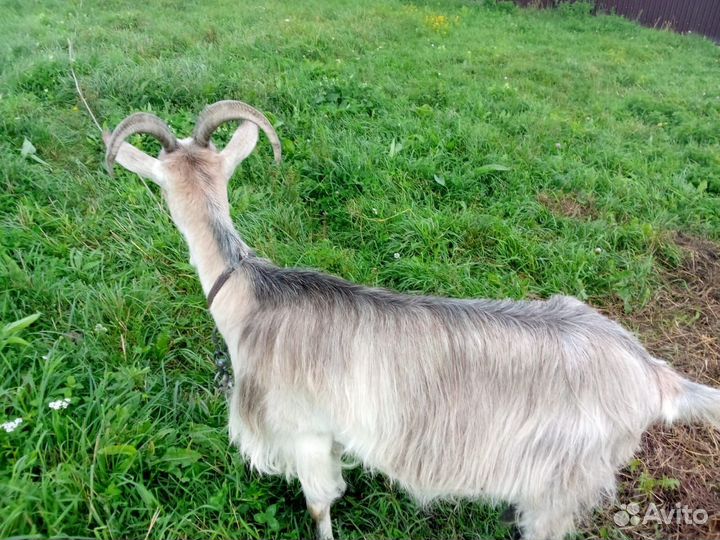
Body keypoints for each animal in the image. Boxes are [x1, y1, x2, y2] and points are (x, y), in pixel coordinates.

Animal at [105, 101, 720, 540]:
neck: (250, 294)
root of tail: (653, 374)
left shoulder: (302, 430)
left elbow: (319, 506)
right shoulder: (329, 432)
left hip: (561, 484)